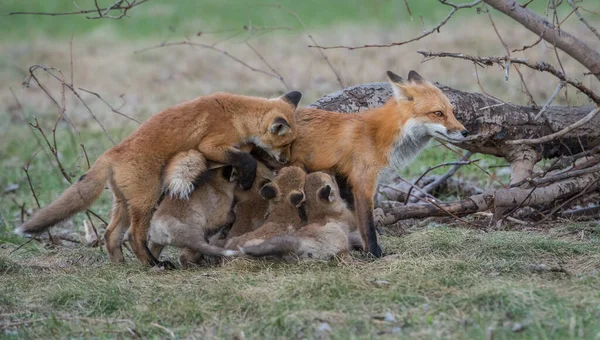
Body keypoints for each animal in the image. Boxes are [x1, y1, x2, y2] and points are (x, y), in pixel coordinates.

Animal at [16, 91, 302, 266]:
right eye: (286, 144)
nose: (286, 161)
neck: (236, 115)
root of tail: (110, 154)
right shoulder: (212, 145)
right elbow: (244, 158)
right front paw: (246, 174)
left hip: (124, 203)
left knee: (111, 235)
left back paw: (120, 265)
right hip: (146, 198)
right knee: (133, 236)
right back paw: (153, 264)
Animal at [290, 71, 468, 258]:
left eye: (452, 112)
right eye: (438, 113)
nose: (466, 132)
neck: (379, 136)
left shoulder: (352, 184)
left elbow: (356, 222)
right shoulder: (363, 183)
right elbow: (368, 227)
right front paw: (375, 254)